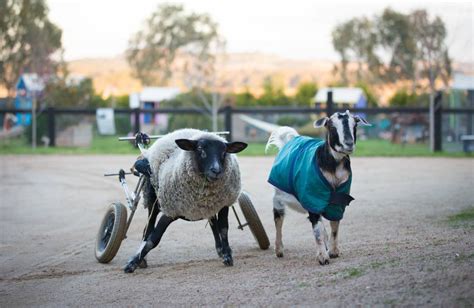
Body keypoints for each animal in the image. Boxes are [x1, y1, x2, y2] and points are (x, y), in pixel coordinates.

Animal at [124, 129, 246, 274]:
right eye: (200, 149)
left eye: (224, 152)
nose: (216, 171)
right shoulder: (171, 212)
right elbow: (153, 239)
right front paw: (132, 263)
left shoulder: (223, 204)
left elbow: (223, 229)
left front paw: (227, 254)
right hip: (153, 200)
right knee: (147, 230)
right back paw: (142, 258)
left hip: (207, 207)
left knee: (213, 224)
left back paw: (220, 249)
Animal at [266, 110, 370, 264]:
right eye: (332, 127)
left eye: (355, 125)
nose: (348, 143)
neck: (332, 167)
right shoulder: (312, 199)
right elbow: (317, 231)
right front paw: (322, 257)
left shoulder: (338, 200)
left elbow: (334, 226)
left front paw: (333, 251)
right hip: (278, 197)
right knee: (279, 219)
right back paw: (279, 249)